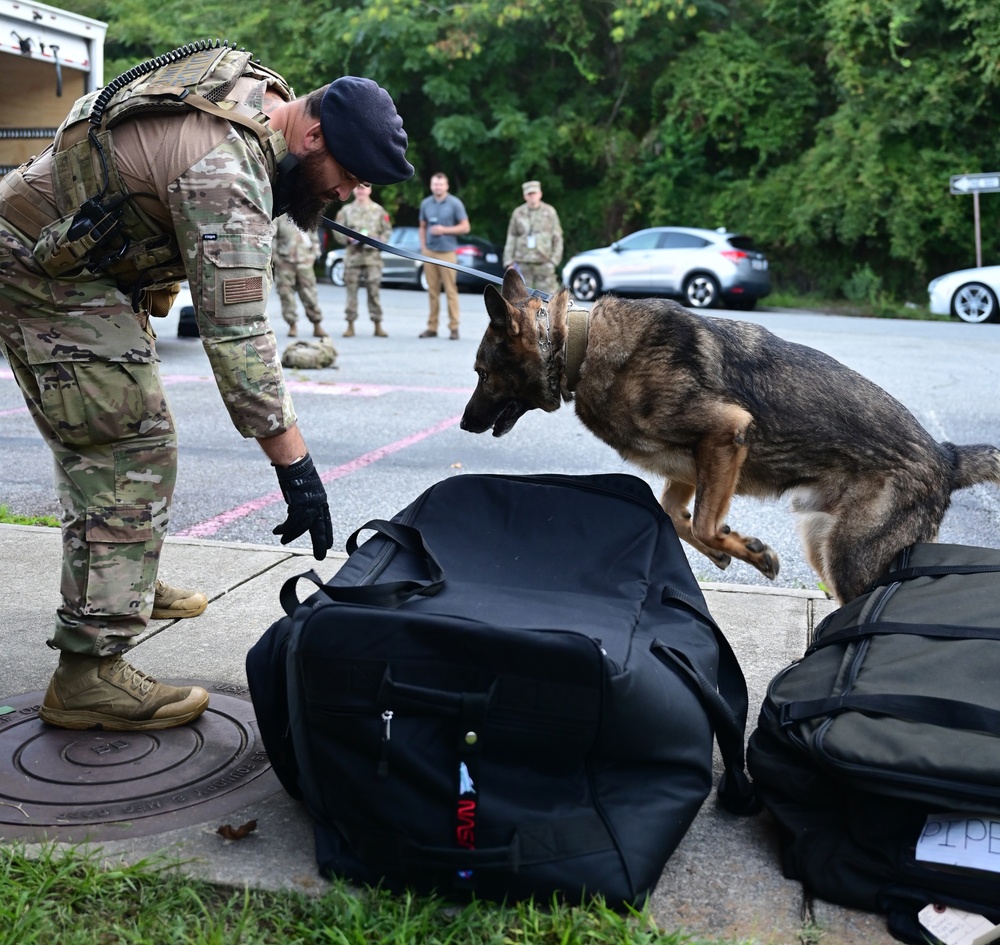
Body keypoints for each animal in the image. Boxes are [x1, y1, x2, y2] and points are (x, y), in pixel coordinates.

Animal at [460, 270, 1000, 600]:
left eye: (482, 373)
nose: (464, 424)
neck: (581, 343)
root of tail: (946, 456)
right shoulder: (690, 468)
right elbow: (677, 516)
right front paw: (724, 549)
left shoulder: (725, 434)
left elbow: (701, 523)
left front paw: (748, 552)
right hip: (822, 547)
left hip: (849, 560)